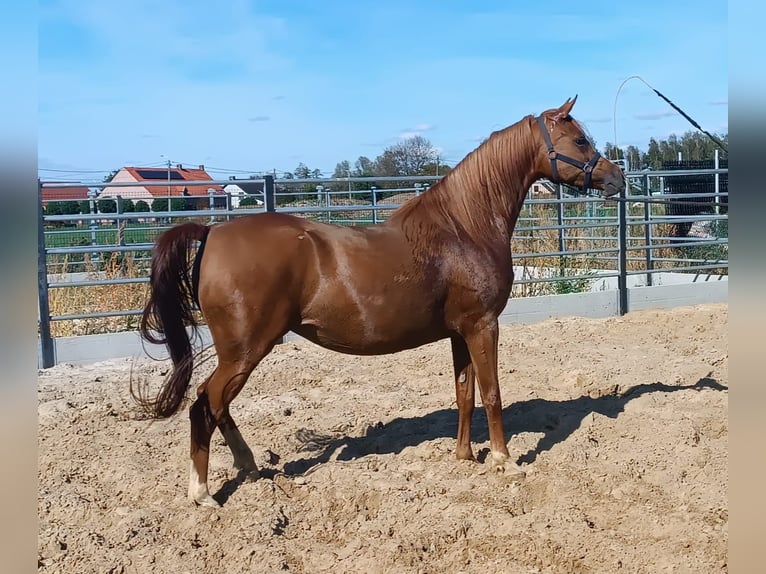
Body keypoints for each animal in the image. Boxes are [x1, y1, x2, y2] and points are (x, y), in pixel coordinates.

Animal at [134, 96, 626, 507]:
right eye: (580, 139)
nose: (617, 178)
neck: (464, 226)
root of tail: (212, 231)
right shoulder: (483, 325)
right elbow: (491, 393)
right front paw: (505, 460)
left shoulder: (460, 332)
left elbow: (464, 393)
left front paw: (465, 457)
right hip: (244, 351)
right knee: (205, 404)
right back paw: (203, 494)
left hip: (243, 353)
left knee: (218, 405)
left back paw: (250, 468)